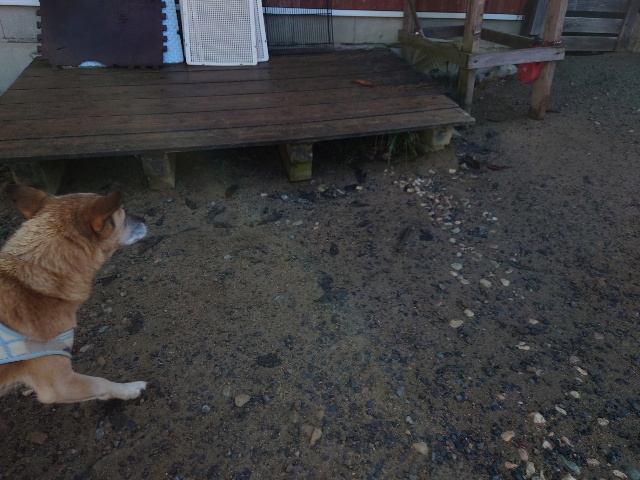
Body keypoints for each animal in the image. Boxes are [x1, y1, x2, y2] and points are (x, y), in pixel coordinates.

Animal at [0, 184, 147, 403]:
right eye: (122, 212)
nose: (145, 219)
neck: (30, 283)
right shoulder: (58, 384)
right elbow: (101, 383)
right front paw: (129, 389)